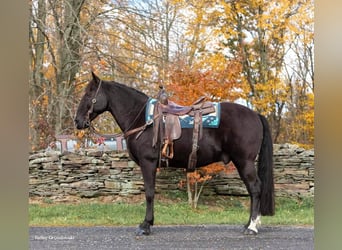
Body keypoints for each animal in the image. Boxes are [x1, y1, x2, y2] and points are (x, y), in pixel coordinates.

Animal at [75, 72, 276, 234]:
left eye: (89, 94)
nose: (77, 121)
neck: (143, 120)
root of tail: (255, 115)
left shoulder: (148, 163)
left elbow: (149, 193)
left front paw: (146, 225)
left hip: (244, 161)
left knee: (255, 188)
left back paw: (252, 227)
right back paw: (249, 224)